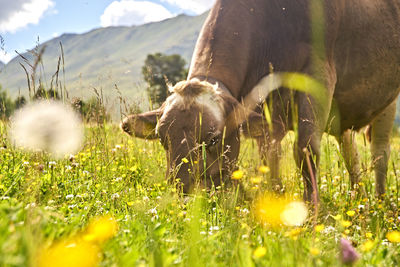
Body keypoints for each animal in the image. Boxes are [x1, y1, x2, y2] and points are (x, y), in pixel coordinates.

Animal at [121, 0, 400, 201]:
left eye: (213, 139)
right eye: (162, 139)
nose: (184, 197)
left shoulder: (318, 77)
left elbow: (306, 151)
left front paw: (312, 217)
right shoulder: (264, 109)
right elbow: (270, 158)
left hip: (387, 101)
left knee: (380, 153)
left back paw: (379, 203)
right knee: (351, 152)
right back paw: (359, 199)